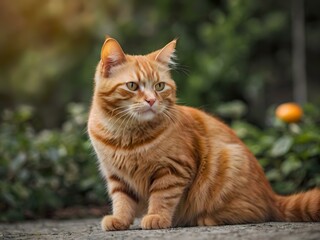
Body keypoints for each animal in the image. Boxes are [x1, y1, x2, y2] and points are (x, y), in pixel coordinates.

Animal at [87, 37, 320, 231]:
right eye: (132, 86)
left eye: (160, 86)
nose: (152, 100)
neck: (125, 135)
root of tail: (272, 196)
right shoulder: (116, 177)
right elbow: (122, 202)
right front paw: (120, 220)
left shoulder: (173, 169)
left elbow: (162, 197)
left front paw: (157, 217)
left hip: (229, 163)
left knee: (255, 213)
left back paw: (203, 219)